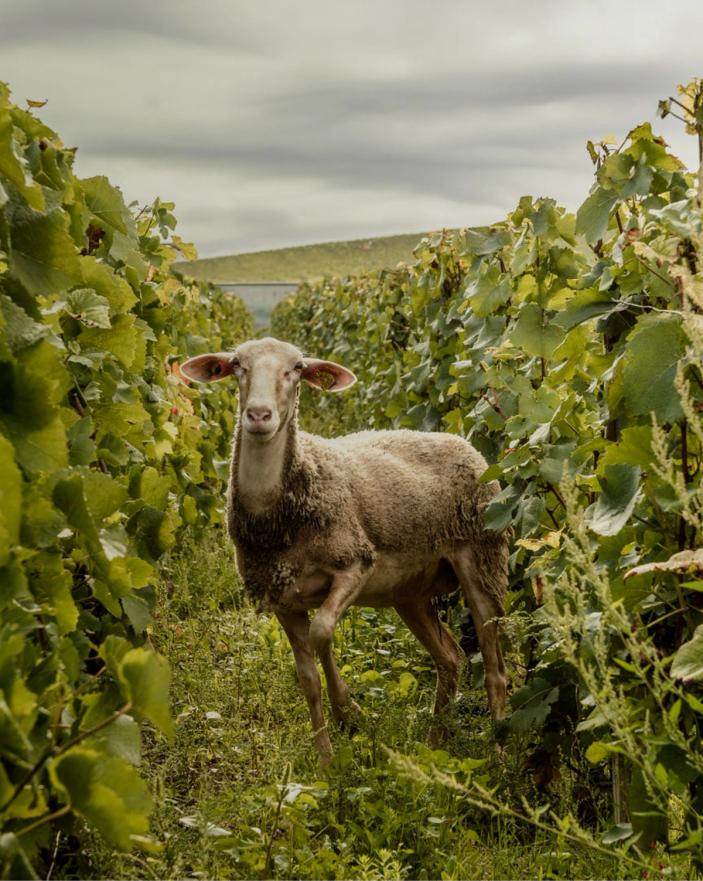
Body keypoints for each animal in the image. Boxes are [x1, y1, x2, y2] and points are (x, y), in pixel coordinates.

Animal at [181, 336, 508, 763]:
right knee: (450, 659)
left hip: (482, 557)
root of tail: (462, 441)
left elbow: (322, 632)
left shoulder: (355, 564)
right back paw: (433, 746)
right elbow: (307, 678)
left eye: (297, 368)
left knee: (493, 667)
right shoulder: (282, 597)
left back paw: (500, 752)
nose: (258, 414)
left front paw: (349, 711)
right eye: (237, 365)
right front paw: (325, 758)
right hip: (410, 591)